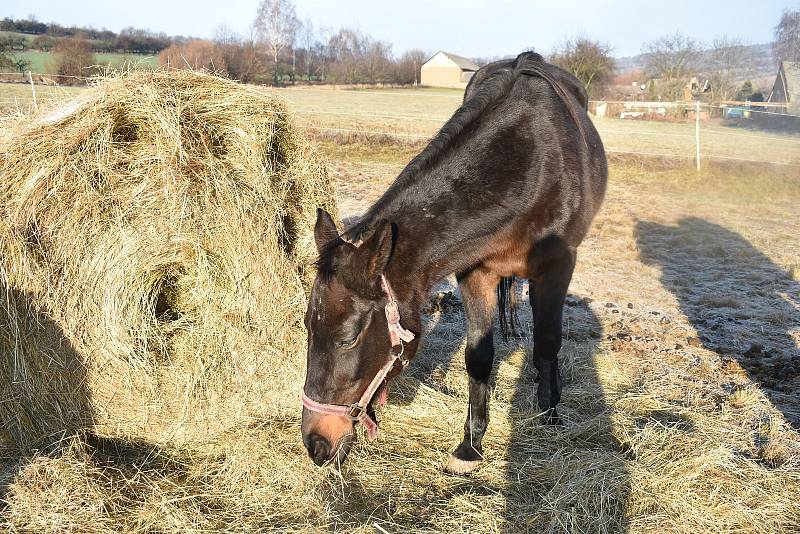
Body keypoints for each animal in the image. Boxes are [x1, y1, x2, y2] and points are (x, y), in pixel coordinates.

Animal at [300, 52, 608, 476]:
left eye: (348, 338)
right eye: (307, 326)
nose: (315, 443)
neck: (526, 164)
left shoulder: (559, 265)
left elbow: (548, 340)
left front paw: (550, 411)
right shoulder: (475, 271)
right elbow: (478, 356)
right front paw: (470, 445)